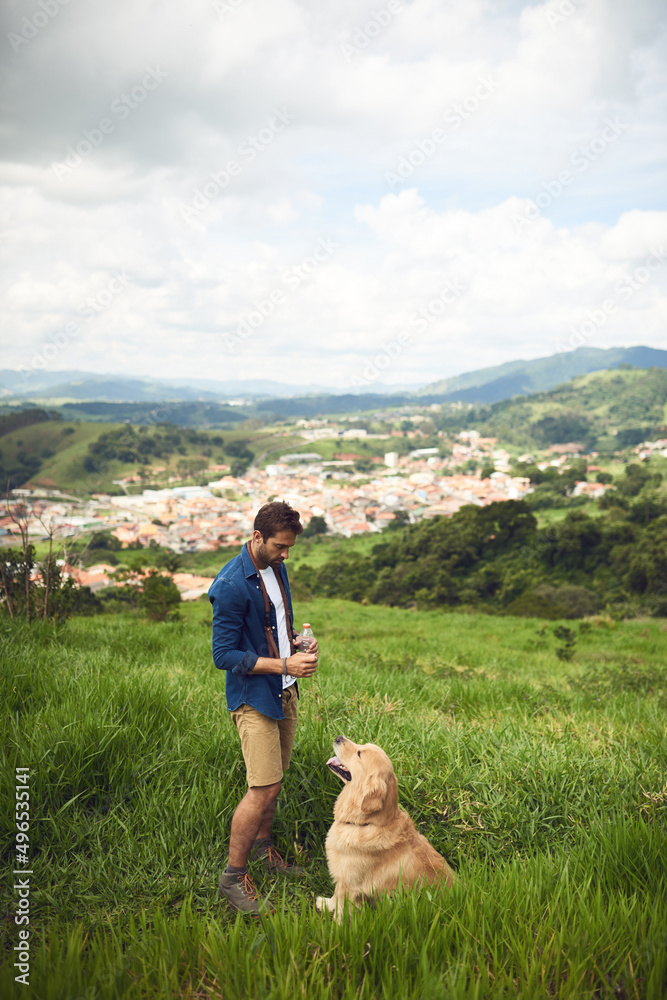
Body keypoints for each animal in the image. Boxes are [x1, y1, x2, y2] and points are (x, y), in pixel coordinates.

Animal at [316, 732, 456, 916]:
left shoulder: (350, 884)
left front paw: (334, 922)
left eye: (359, 753)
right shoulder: (343, 877)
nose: (338, 737)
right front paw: (325, 904)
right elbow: (335, 896)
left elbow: (341, 910)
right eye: (362, 745)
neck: (367, 823)